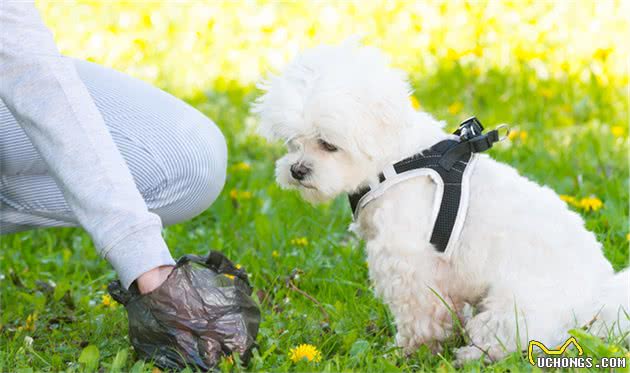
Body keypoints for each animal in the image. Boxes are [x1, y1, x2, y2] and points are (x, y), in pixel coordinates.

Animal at [253, 40, 630, 360]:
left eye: (328, 144)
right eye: (292, 142)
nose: (297, 170)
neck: (395, 161)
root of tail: (600, 298)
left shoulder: (408, 262)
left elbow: (419, 314)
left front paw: (412, 350)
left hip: (515, 309)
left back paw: (472, 355)